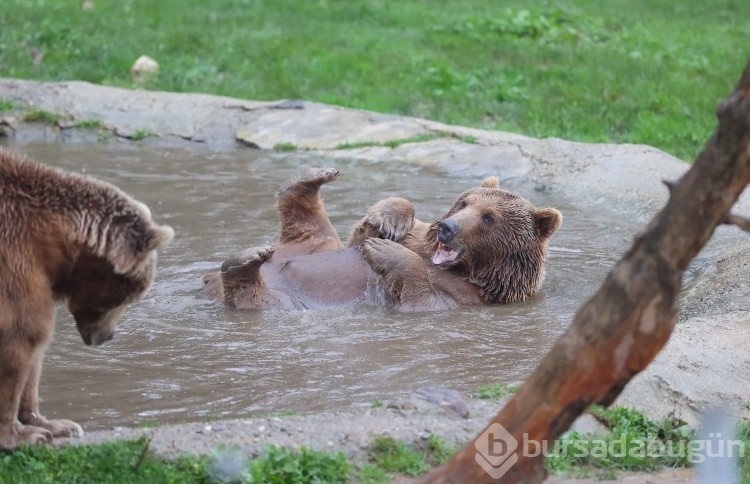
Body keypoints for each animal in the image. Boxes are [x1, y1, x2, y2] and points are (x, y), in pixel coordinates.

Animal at [0, 149, 172, 452]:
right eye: (131, 296)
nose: (109, 335)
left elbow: (35, 348)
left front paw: (56, 425)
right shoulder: (14, 261)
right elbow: (21, 333)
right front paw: (22, 435)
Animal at [203, 166, 560, 310]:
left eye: (489, 218)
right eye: (464, 203)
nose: (448, 227)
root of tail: (210, 287)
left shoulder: (470, 298)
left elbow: (420, 298)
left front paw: (383, 251)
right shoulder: (419, 239)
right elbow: (369, 230)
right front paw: (389, 223)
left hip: (286, 301)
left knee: (252, 295)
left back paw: (244, 263)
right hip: (308, 247)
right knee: (310, 227)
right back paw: (311, 178)